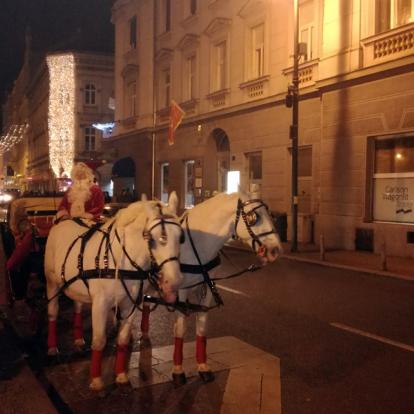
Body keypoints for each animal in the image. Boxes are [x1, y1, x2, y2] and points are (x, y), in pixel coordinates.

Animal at [44, 192, 184, 390]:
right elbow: (99, 340)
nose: (174, 281)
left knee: (77, 306)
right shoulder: (100, 304)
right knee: (52, 313)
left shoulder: (130, 305)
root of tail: (62, 220)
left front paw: (121, 376)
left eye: (181, 237)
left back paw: (78, 339)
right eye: (149, 237)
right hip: (52, 284)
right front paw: (96, 381)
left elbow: (123, 339)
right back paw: (52, 347)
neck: (120, 259)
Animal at [141, 190, 284, 384]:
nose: (276, 250)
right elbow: (180, 329)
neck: (198, 245)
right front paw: (178, 370)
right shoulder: (182, 291)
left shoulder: (207, 288)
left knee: (146, 302)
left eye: (271, 215)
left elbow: (202, 325)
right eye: (254, 217)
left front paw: (203, 367)